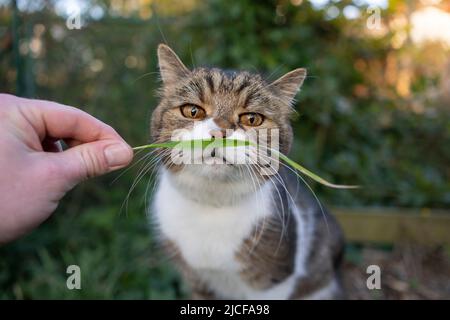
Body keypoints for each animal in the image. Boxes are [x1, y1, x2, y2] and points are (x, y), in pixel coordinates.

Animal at [149, 43, 342, 298]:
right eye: (192, 111)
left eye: (252, 119)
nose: (219, 132)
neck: (212, 208)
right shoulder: (197, 282)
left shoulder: (275, 280)